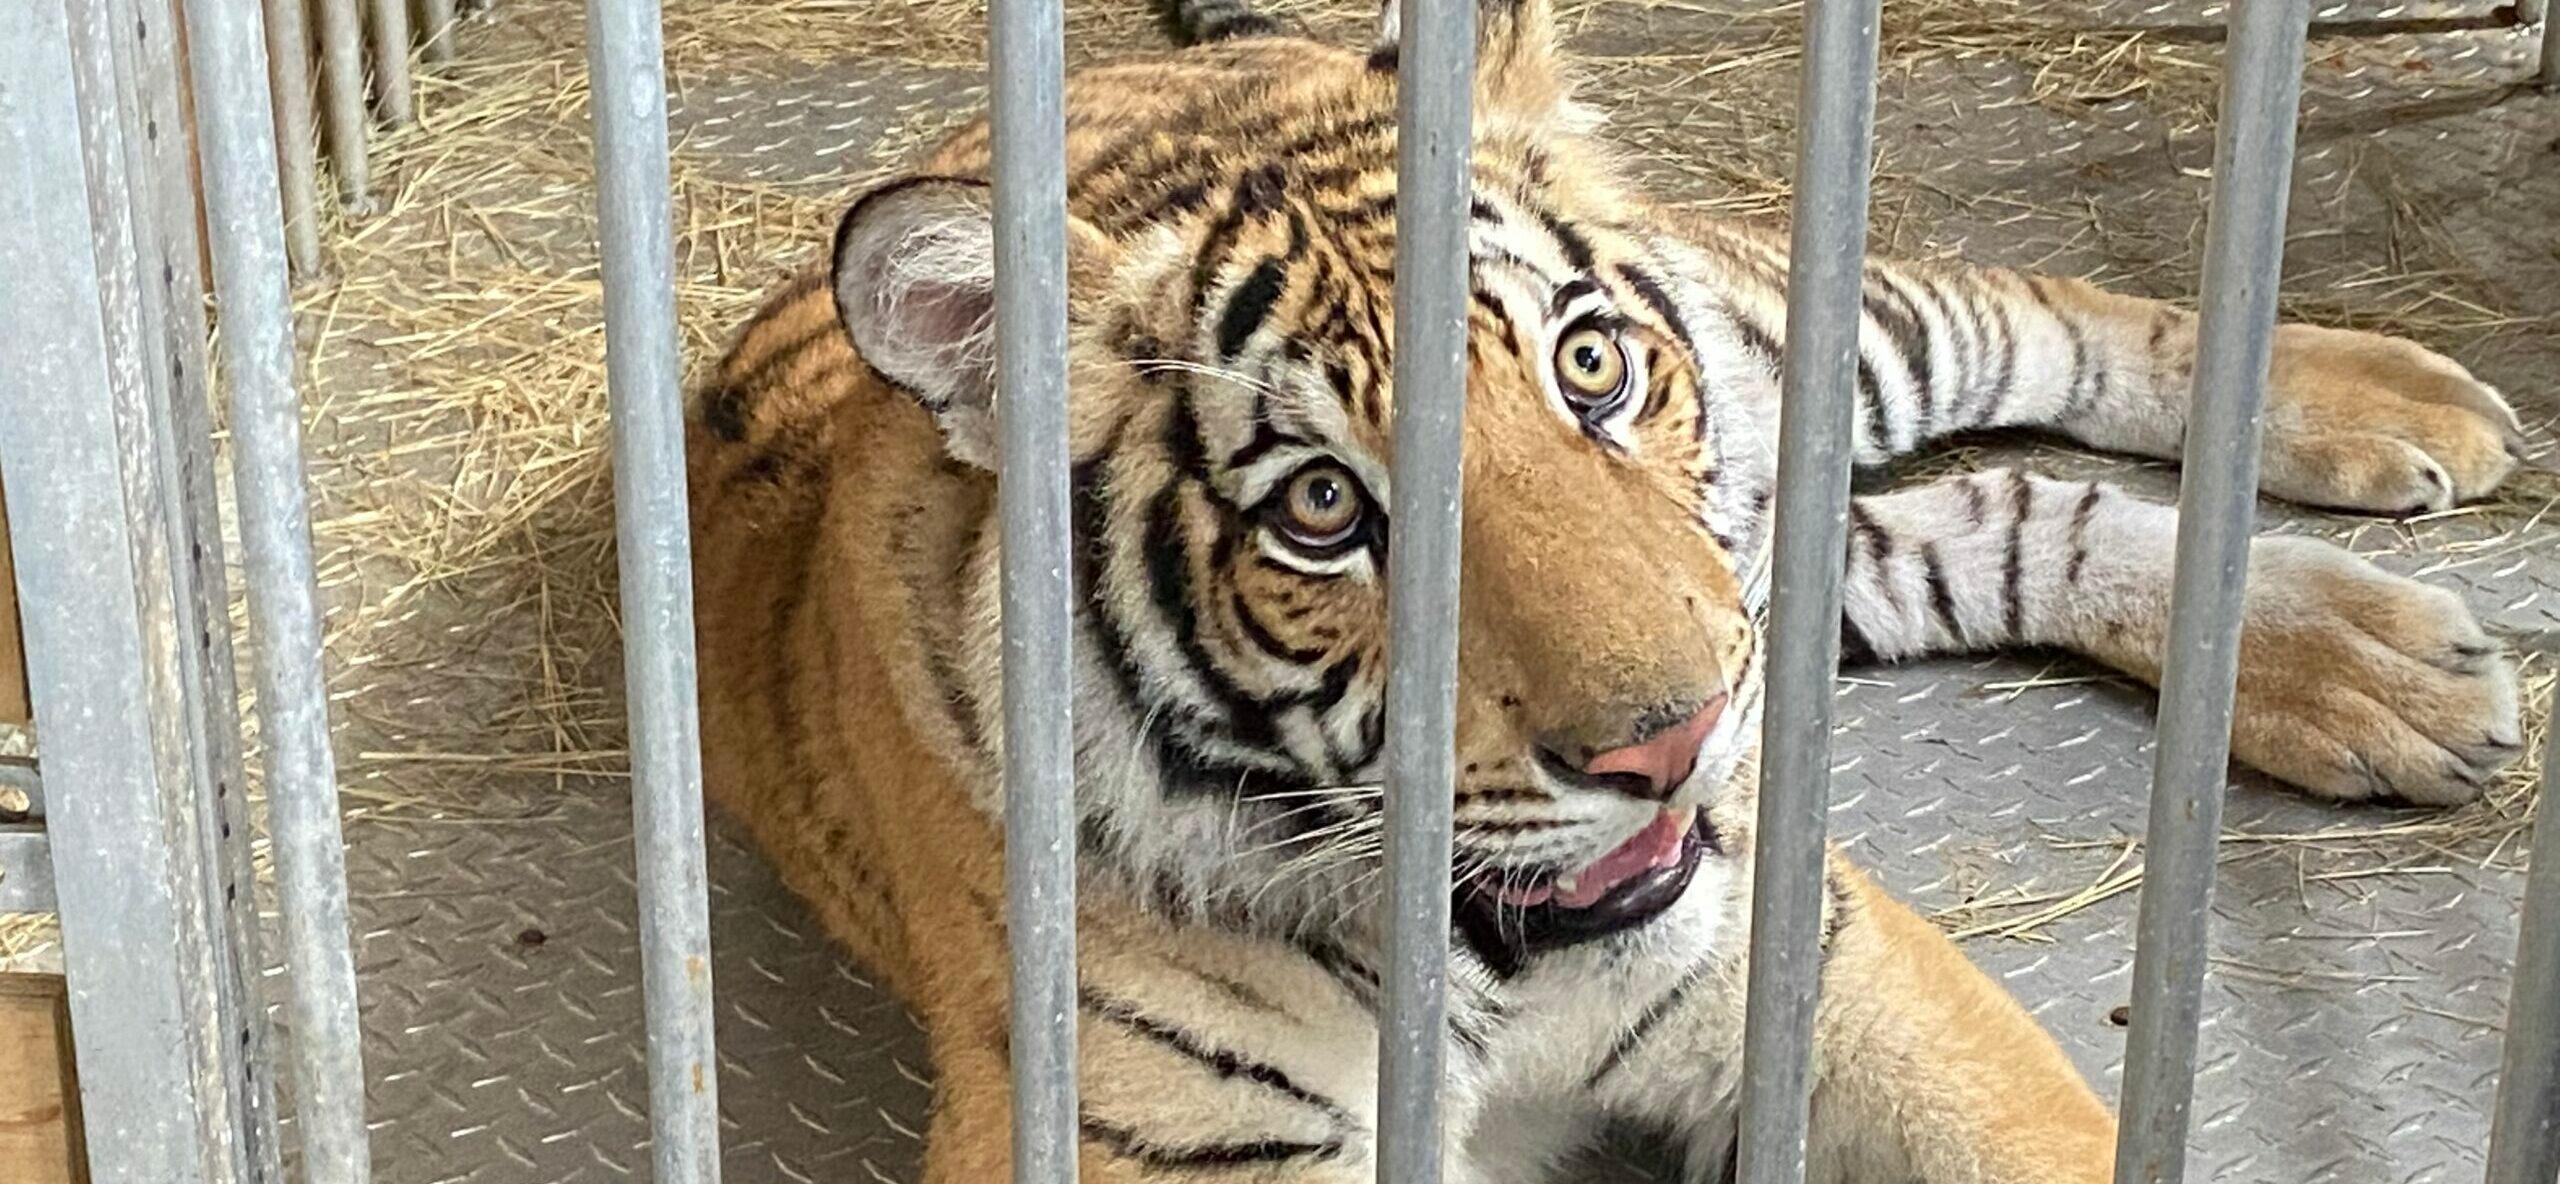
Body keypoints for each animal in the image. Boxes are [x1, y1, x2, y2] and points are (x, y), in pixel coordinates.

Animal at [686, 0, 2539, 1178]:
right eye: (1320, 508)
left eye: (1591, 367)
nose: (1676, 744)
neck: (1503, 966)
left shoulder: (1820, 964)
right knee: (1992, 512)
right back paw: (2378, 663)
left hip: (1812, 356)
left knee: (2045, 315)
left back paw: (2389, 429)